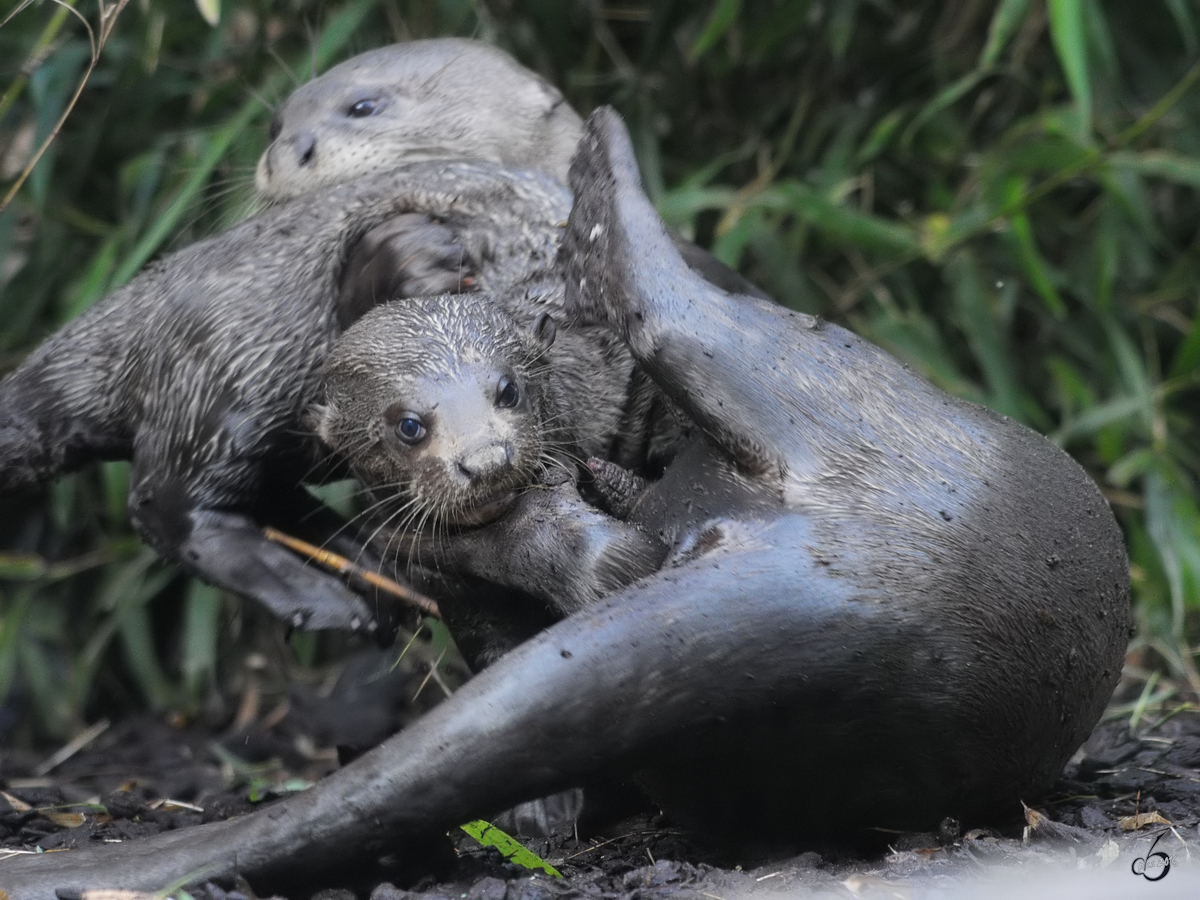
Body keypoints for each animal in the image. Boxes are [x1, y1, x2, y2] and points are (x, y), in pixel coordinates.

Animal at [0, 109, 1128, 897]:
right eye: (408, 424)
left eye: (506, 391)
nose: (483, 457)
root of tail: (851, 576)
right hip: (224, 384)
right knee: (169, 498)